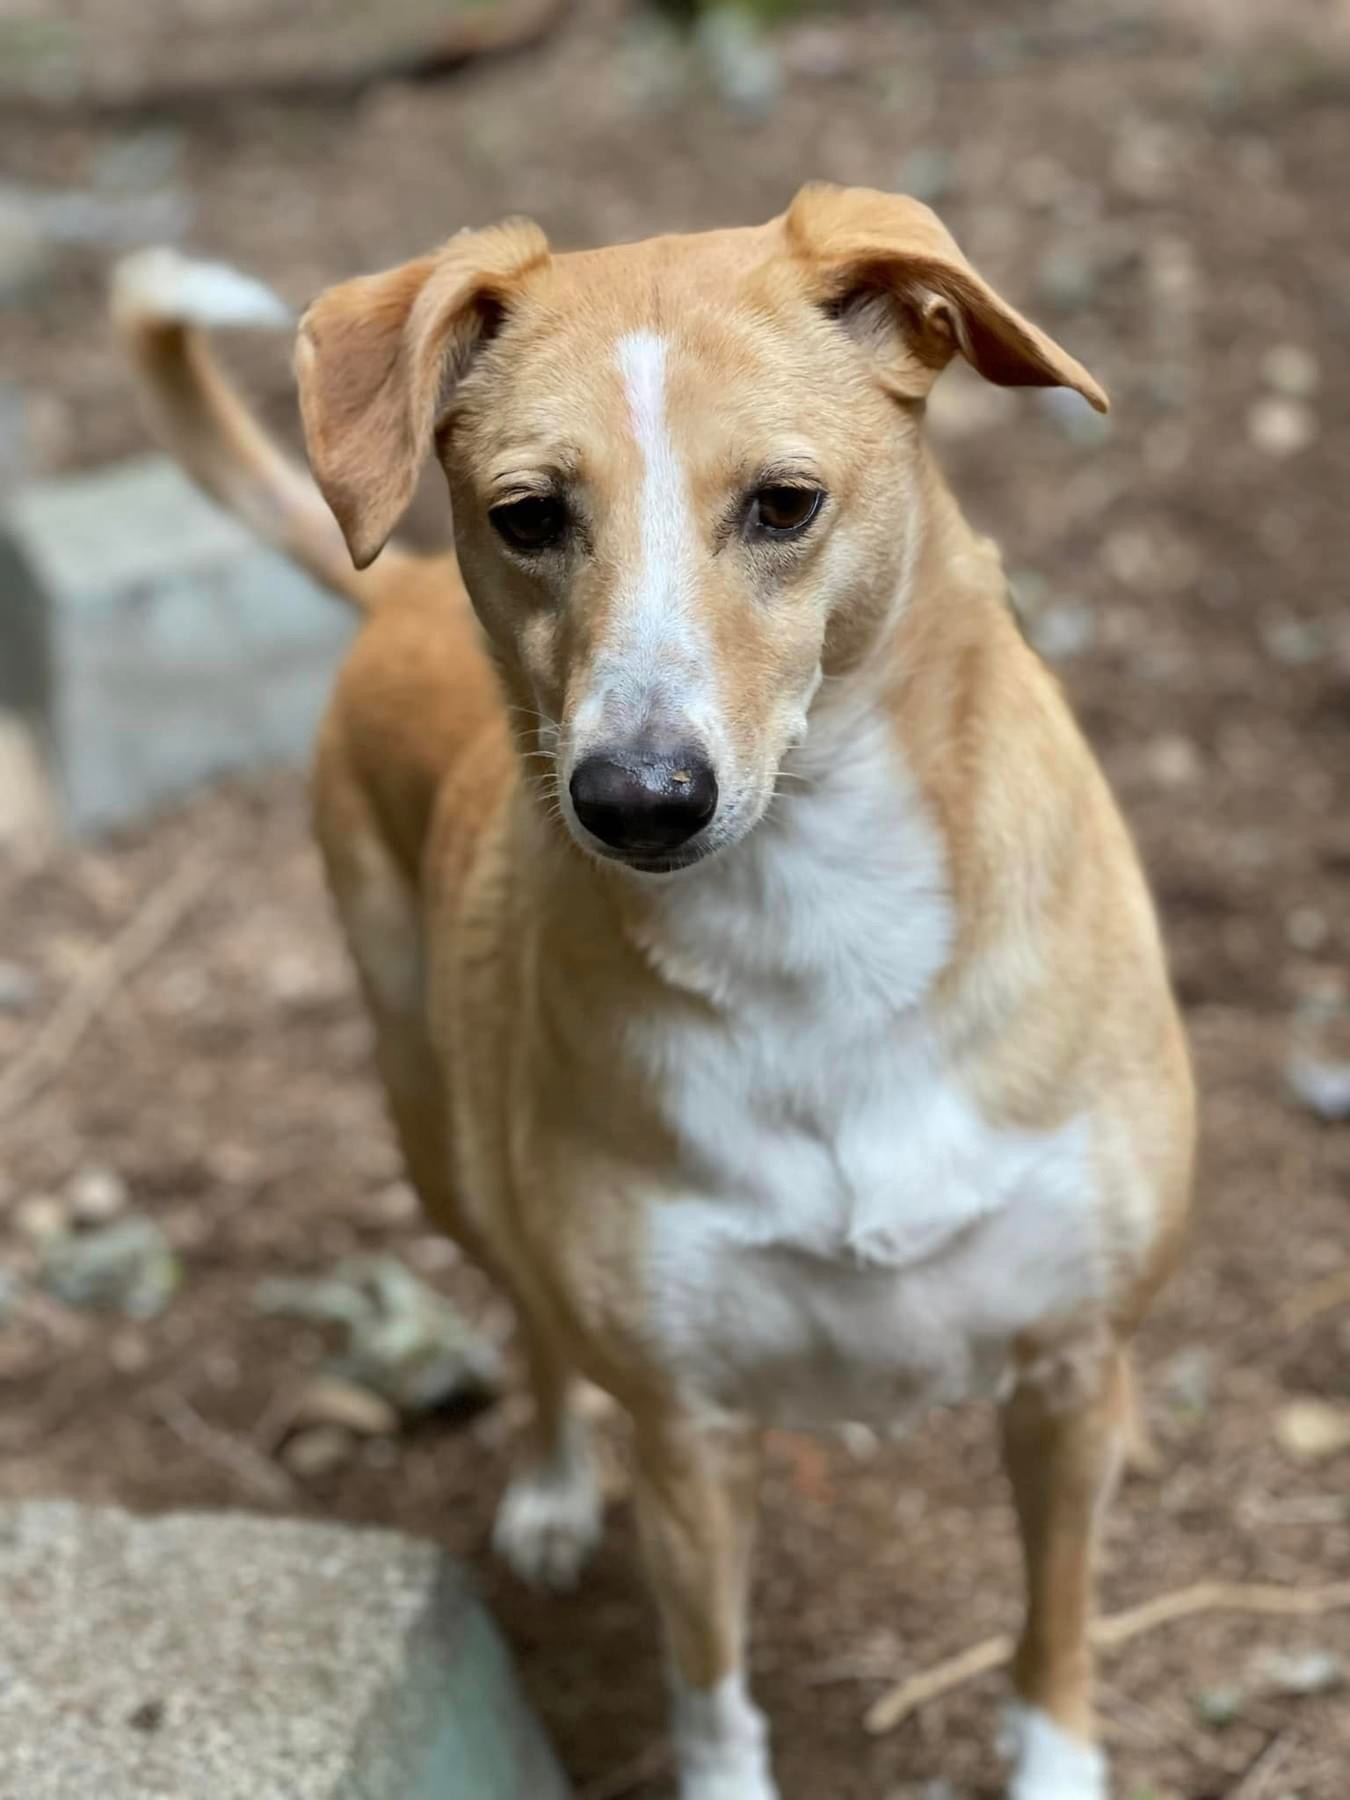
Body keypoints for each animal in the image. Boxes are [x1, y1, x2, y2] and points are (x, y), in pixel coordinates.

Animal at [116, 186, 1195, 1800]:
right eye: (527, 516)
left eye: (785, 505)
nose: (635, 798)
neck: (816, 920)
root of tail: (402, 594)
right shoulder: (688, 1437)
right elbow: (710, 1694)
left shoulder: (1075, 1378)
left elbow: (1053, 1633)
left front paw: (1056, 1761)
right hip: (440, 1130)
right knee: (528, 1312)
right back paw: (554, 1488)